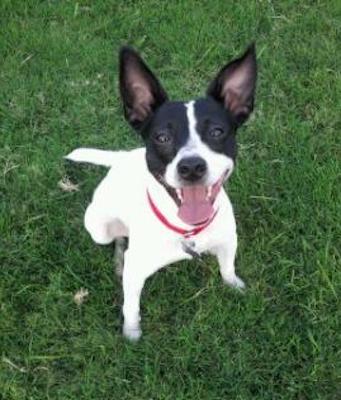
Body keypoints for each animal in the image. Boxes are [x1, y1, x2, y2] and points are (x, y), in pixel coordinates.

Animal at [65, 46, 256, 340]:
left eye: (217, 131)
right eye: (162, 137)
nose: (192, 167)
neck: (187, 229)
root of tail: (121, 158)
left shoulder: (228, 241)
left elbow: (227, 267)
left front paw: (234, 285)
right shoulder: (136, 271)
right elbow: (130, 305)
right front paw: (131, 334)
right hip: (99, 229)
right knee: (118, 239)